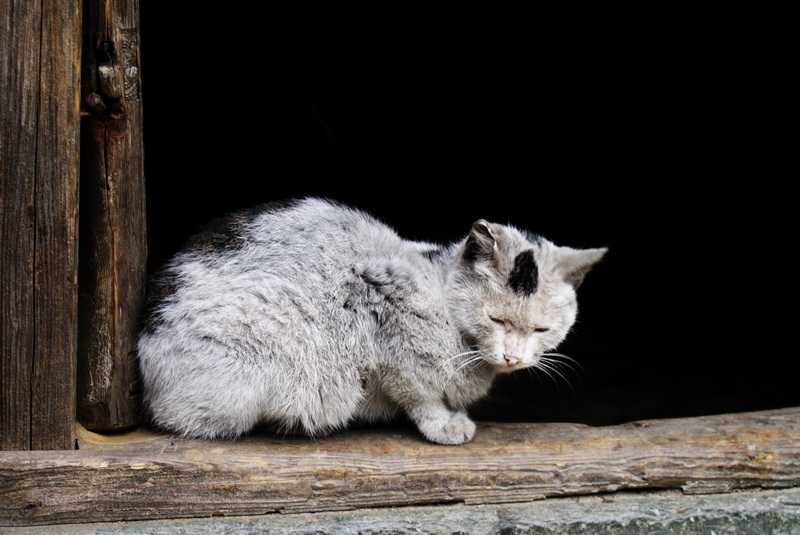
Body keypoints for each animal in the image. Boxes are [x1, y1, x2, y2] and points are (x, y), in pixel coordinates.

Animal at [136, 199, 608, 446]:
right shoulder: (387, 315)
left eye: (541, 331)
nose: (513, 357)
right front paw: (445, 425)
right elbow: (420, 395)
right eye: (496, 318)